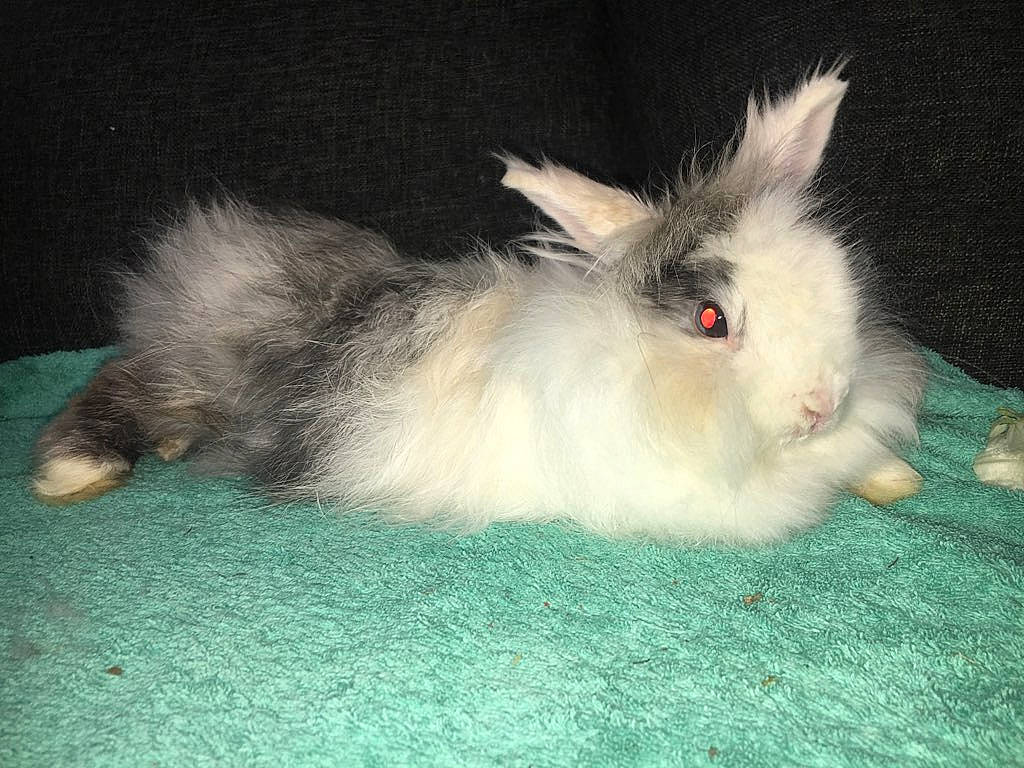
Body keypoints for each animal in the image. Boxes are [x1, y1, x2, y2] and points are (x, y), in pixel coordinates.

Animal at [32, 68, 926, 544]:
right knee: (125, 381)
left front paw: (898, 478)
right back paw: (76, 469)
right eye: (713, 320)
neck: (637, 370)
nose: (821, 404)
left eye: (832, 279)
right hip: (207, 371)